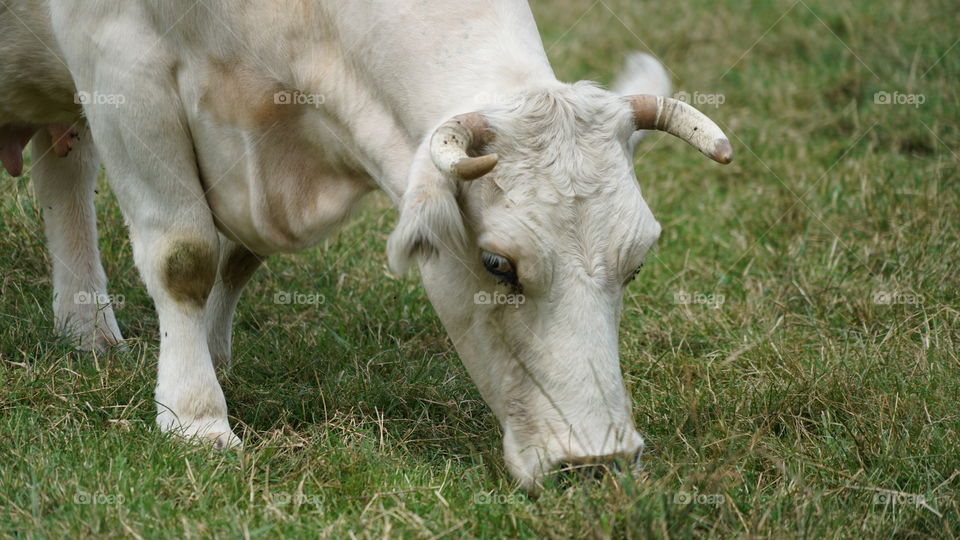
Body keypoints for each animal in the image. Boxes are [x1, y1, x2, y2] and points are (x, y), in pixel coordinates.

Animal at [0, 0, 731, 490]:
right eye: (497, 263)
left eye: (636, 265)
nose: (600, 462)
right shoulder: (119, 63)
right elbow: (186, 256)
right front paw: (195, 417)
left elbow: (238, 258)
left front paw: (212, 356)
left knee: (66, 174)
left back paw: (88, 331)